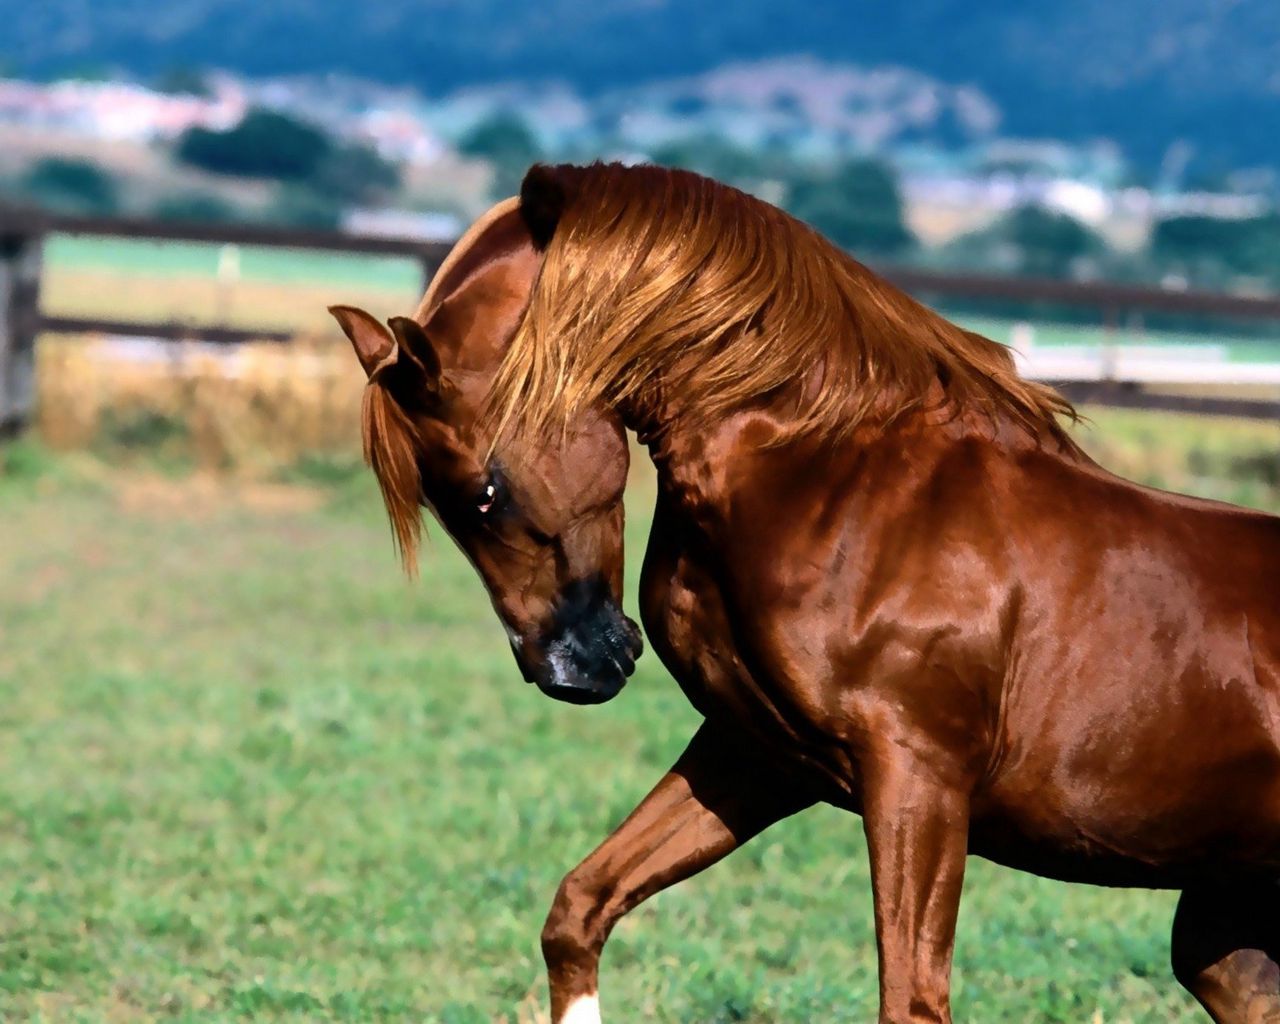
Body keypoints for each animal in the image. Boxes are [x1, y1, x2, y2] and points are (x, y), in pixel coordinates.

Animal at [327, 163, 1280, 1018]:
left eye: (483, 492)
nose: (572, 669)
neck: (834, 475)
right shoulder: (756, 755)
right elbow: (580, 908)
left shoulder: (917, 780)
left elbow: (911, 998)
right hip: (1224, 939)